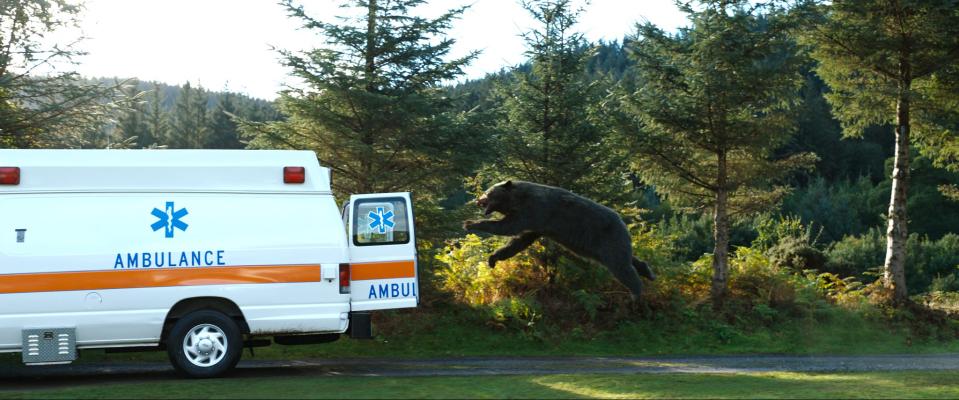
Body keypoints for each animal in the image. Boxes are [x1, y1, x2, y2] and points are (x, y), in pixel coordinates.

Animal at [464, 180, 656, 298]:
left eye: (488, 192)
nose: (477, 200)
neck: (518, 200)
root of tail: (623, 222)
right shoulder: (537, 225)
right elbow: (519, 241)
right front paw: (493, 258)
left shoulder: (535, 211)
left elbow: (508, 227)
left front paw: (470, 223)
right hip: (608, 246)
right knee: (628, 259)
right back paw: (648, 272)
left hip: (607, 239)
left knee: (622, 267)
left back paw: (636, 293)